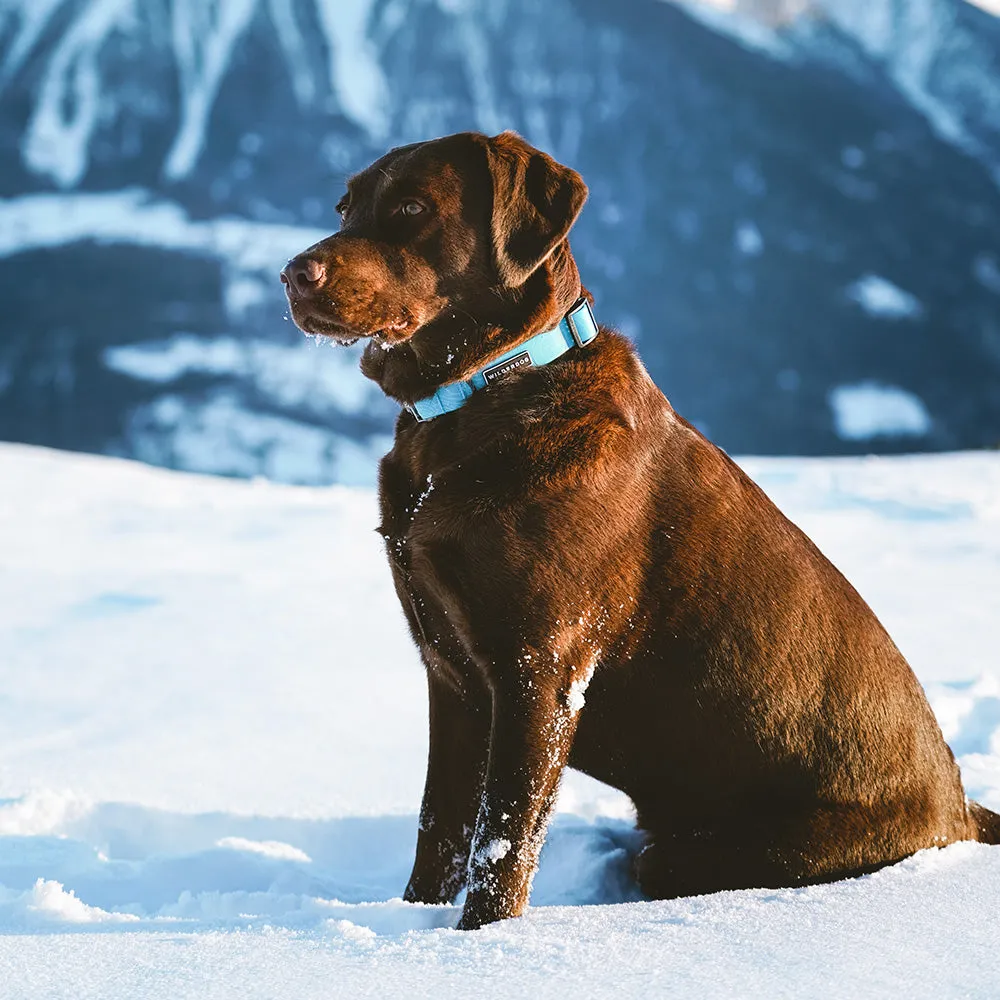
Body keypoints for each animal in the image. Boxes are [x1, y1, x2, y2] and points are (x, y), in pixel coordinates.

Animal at [284, 129, 1000, 924]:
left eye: (411, 207)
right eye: (346, 207)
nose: (292, 274)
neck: (482, 398)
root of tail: (960, 805)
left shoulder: (540, 670)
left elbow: (499, 847)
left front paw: (478, 941)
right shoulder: (451, 674)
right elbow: (438, 833)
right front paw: (416, 924)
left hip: (716, 850)